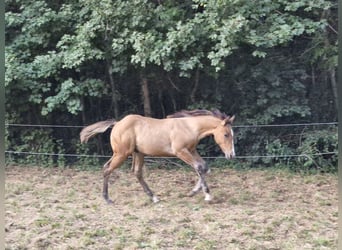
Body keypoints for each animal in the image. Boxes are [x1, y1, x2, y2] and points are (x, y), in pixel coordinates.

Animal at [80, 109, 235, 203]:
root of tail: (117, 123)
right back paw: (107, 199)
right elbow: (199, 167)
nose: (231, 155)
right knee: (108, 169)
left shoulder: (192, 150)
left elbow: (204, 167)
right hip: (122, 153)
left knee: (136, 172)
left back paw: (154, 197)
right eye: (226, 134)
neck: (189, 127)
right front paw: (203, 194)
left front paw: (199, 192)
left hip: (137, 153)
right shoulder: (180, 151)